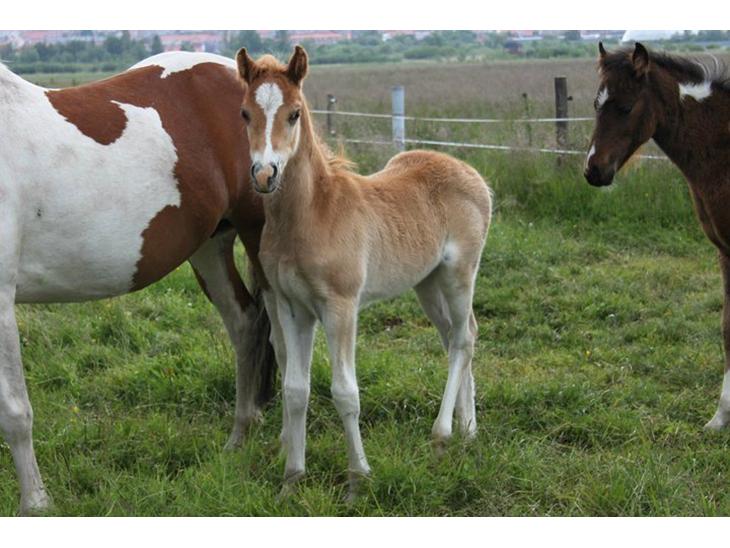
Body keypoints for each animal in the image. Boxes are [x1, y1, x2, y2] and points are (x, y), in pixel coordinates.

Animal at [0, 51, 276, 515]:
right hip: (210, 244)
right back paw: (241, 433)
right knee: (246, 324)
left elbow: (15, 409)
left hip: (259, 236)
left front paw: (36, 503)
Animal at [233, 45, 492, 499]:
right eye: (246, 113)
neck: (311, 213)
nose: (265, 174)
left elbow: (345, 392)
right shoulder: (292, 307)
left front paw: (357, 480)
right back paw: (468, 430)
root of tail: (469, 171)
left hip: (460, 274)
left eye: (294, 113)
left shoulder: (340, 307)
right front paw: (291, 479)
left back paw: (443, 434)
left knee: (464, 339)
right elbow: (295, 389)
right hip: (427, 283)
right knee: (456, 337)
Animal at [584, 42, 730, 430]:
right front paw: (720, 418)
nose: (593, 171)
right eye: (595, 104)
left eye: (626, 106)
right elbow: (727, 328)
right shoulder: (724, 252)